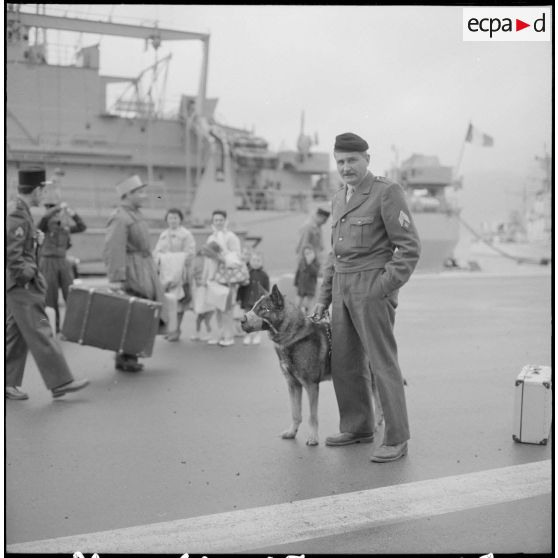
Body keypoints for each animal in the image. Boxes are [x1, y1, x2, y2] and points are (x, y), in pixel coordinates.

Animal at [242, 286, 384, 448]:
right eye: (253, 307)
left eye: (264, 309)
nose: (241, 320)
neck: (292, 336)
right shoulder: (293, 385)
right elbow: (295, 413)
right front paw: (292, 432)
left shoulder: (311, 386)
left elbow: (312, 416)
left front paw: (313, 437)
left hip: (370, 375)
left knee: (377, 396)